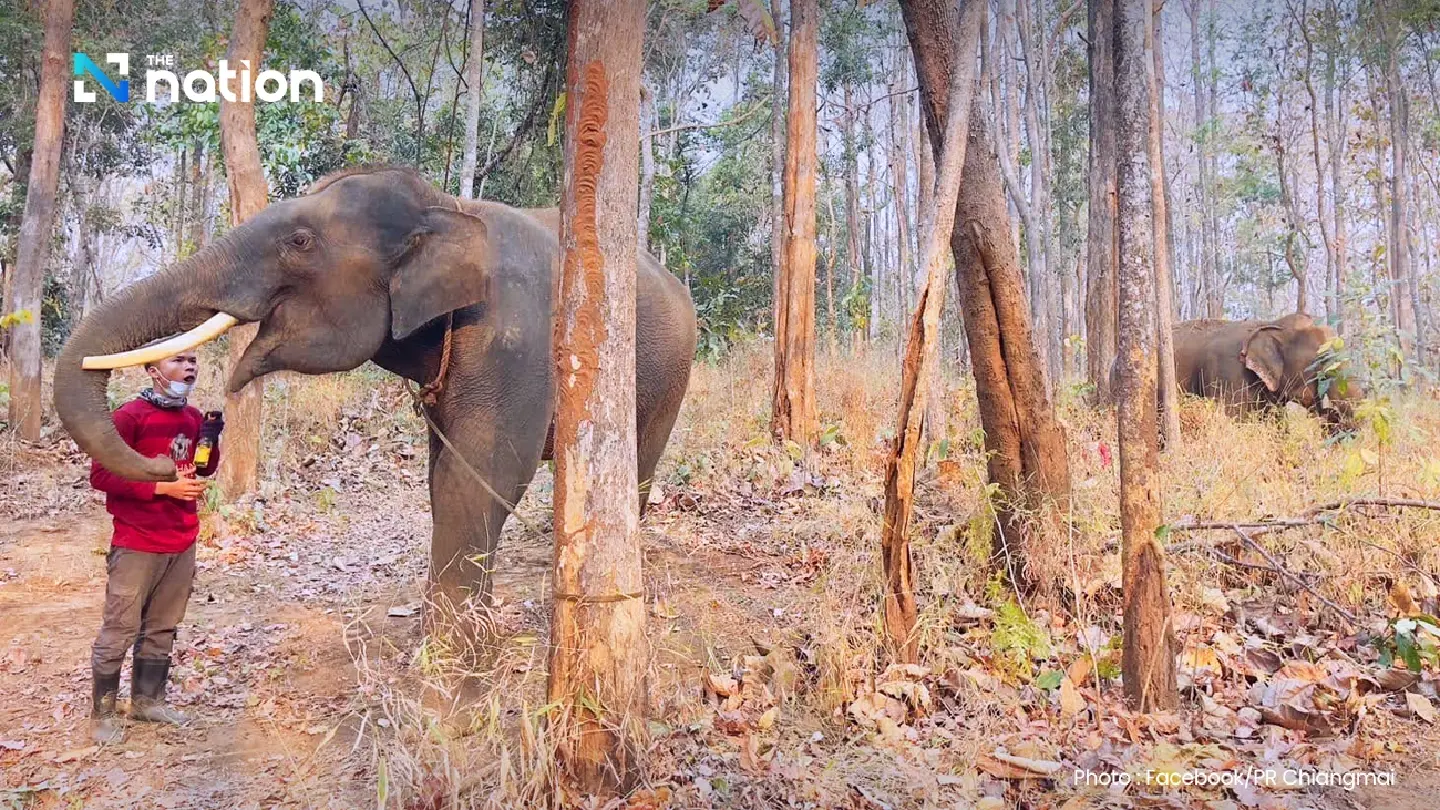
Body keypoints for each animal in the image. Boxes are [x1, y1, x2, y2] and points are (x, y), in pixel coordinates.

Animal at [54, 164, 697, 618]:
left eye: (301, 242)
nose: (176, 459)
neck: (447, 206)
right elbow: (443, 476)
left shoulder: (513, 332)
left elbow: (480, 473)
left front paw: (448, 650)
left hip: (669, 375)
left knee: (634, 469)